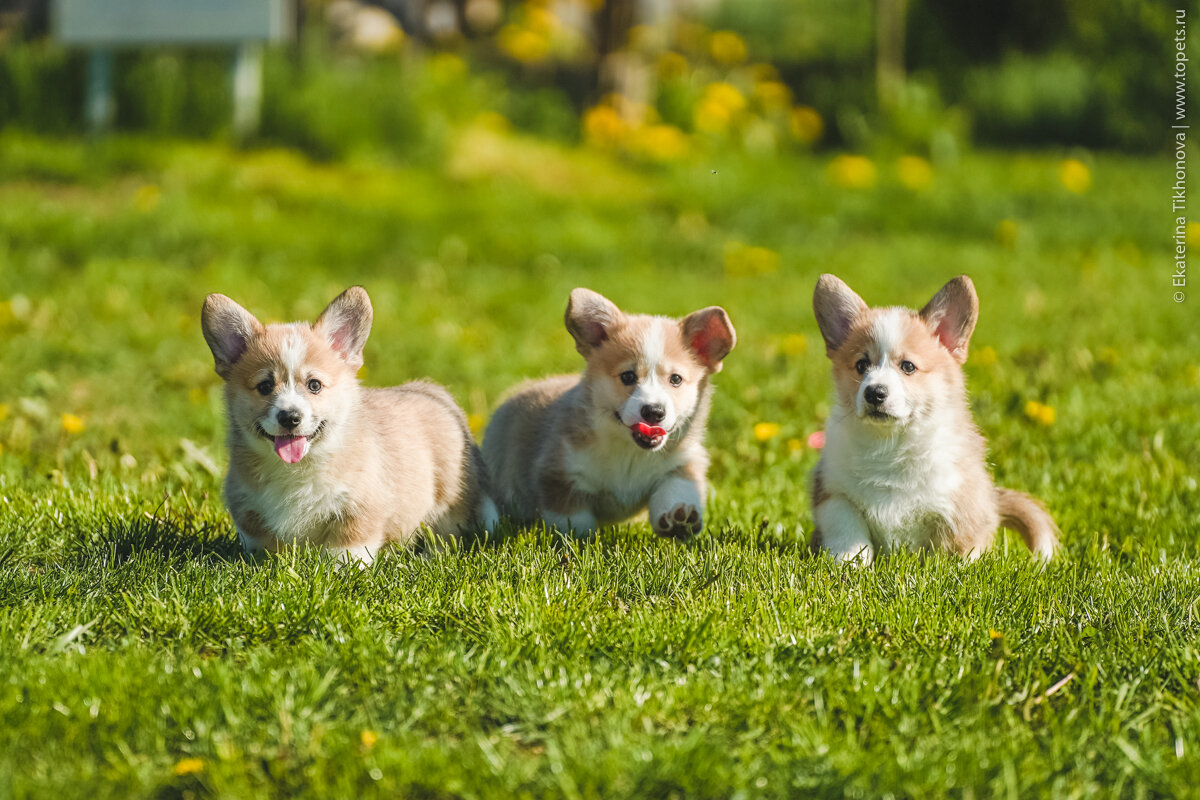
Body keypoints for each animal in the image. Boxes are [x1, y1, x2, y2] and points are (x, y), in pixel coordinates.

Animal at [199, 286, 494, 563]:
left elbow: (347, 548)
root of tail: (435, 392)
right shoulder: (247, 507)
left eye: (314, 385)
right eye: (264, 386)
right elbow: (262, 543)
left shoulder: (359, 507)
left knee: (446, 534)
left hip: (449, 499)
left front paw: (341, 571)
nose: (290, 417)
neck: (299, 468)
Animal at [482, 287, 734, 537]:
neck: (630, 454)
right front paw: (578, 539)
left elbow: (676, 488)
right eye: (628, 376)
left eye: (676, 379)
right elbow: (574, 520)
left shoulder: (683, 462)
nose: (654, 412)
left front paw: (679, 519)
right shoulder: (559, 474)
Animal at [806, 275, 1060, 563]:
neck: (890, 443)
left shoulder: (954, 504)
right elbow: (848, 531)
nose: (874, 393)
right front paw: (850, 563)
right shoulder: (834, 492)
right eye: (861, 365)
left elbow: (953, 546)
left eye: (908, 366)